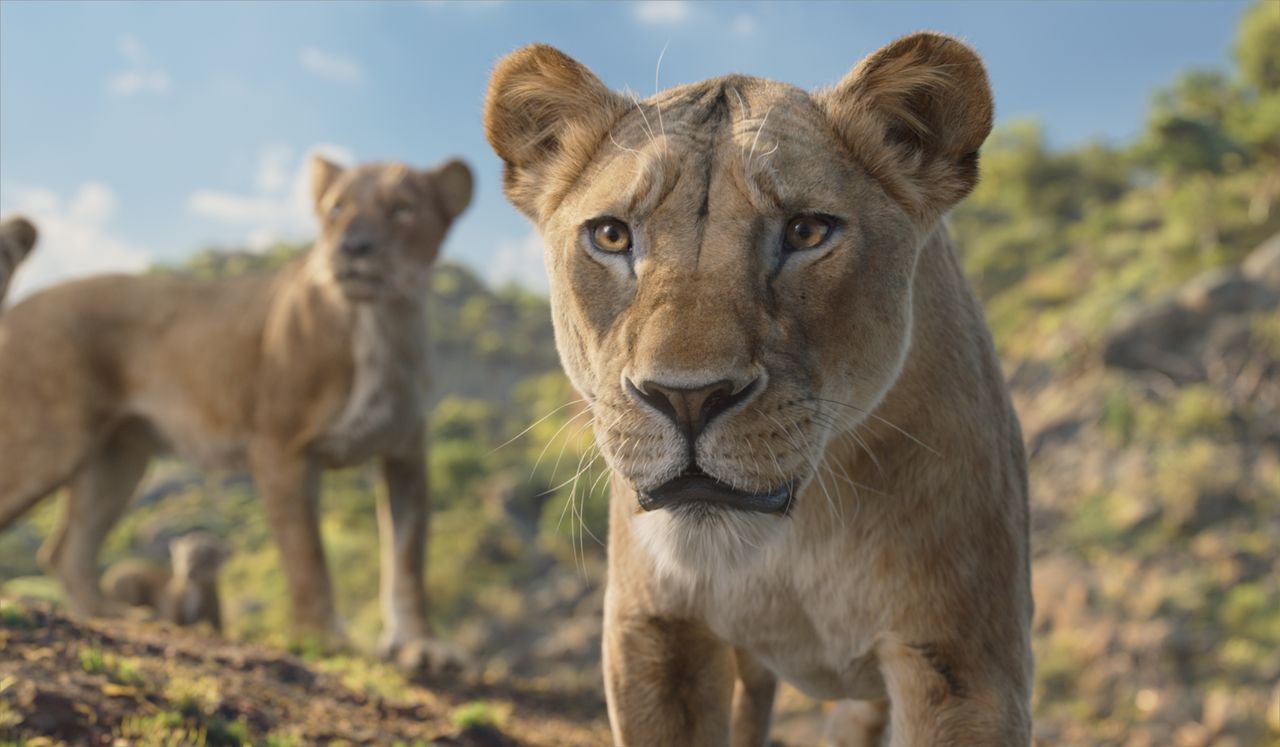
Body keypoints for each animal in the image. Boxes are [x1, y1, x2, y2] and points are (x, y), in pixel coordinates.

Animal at [0, 156, 473, 672]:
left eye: (403, 209)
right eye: (337, 208)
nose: (353, 247)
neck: (381, 322)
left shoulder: (407, 453)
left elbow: (408, 557)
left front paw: (422, 645)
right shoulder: (280, 449)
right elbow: (307, 554)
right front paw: (321, 637)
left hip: (117, 459)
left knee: (66, 551)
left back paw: (115, 614)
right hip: (45, 443)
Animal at [484, 34, 1032, 745]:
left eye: (805, 231)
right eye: (611, 235)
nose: (687, 398)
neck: (788, 545)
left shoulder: (964, 666)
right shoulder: (653, 631)